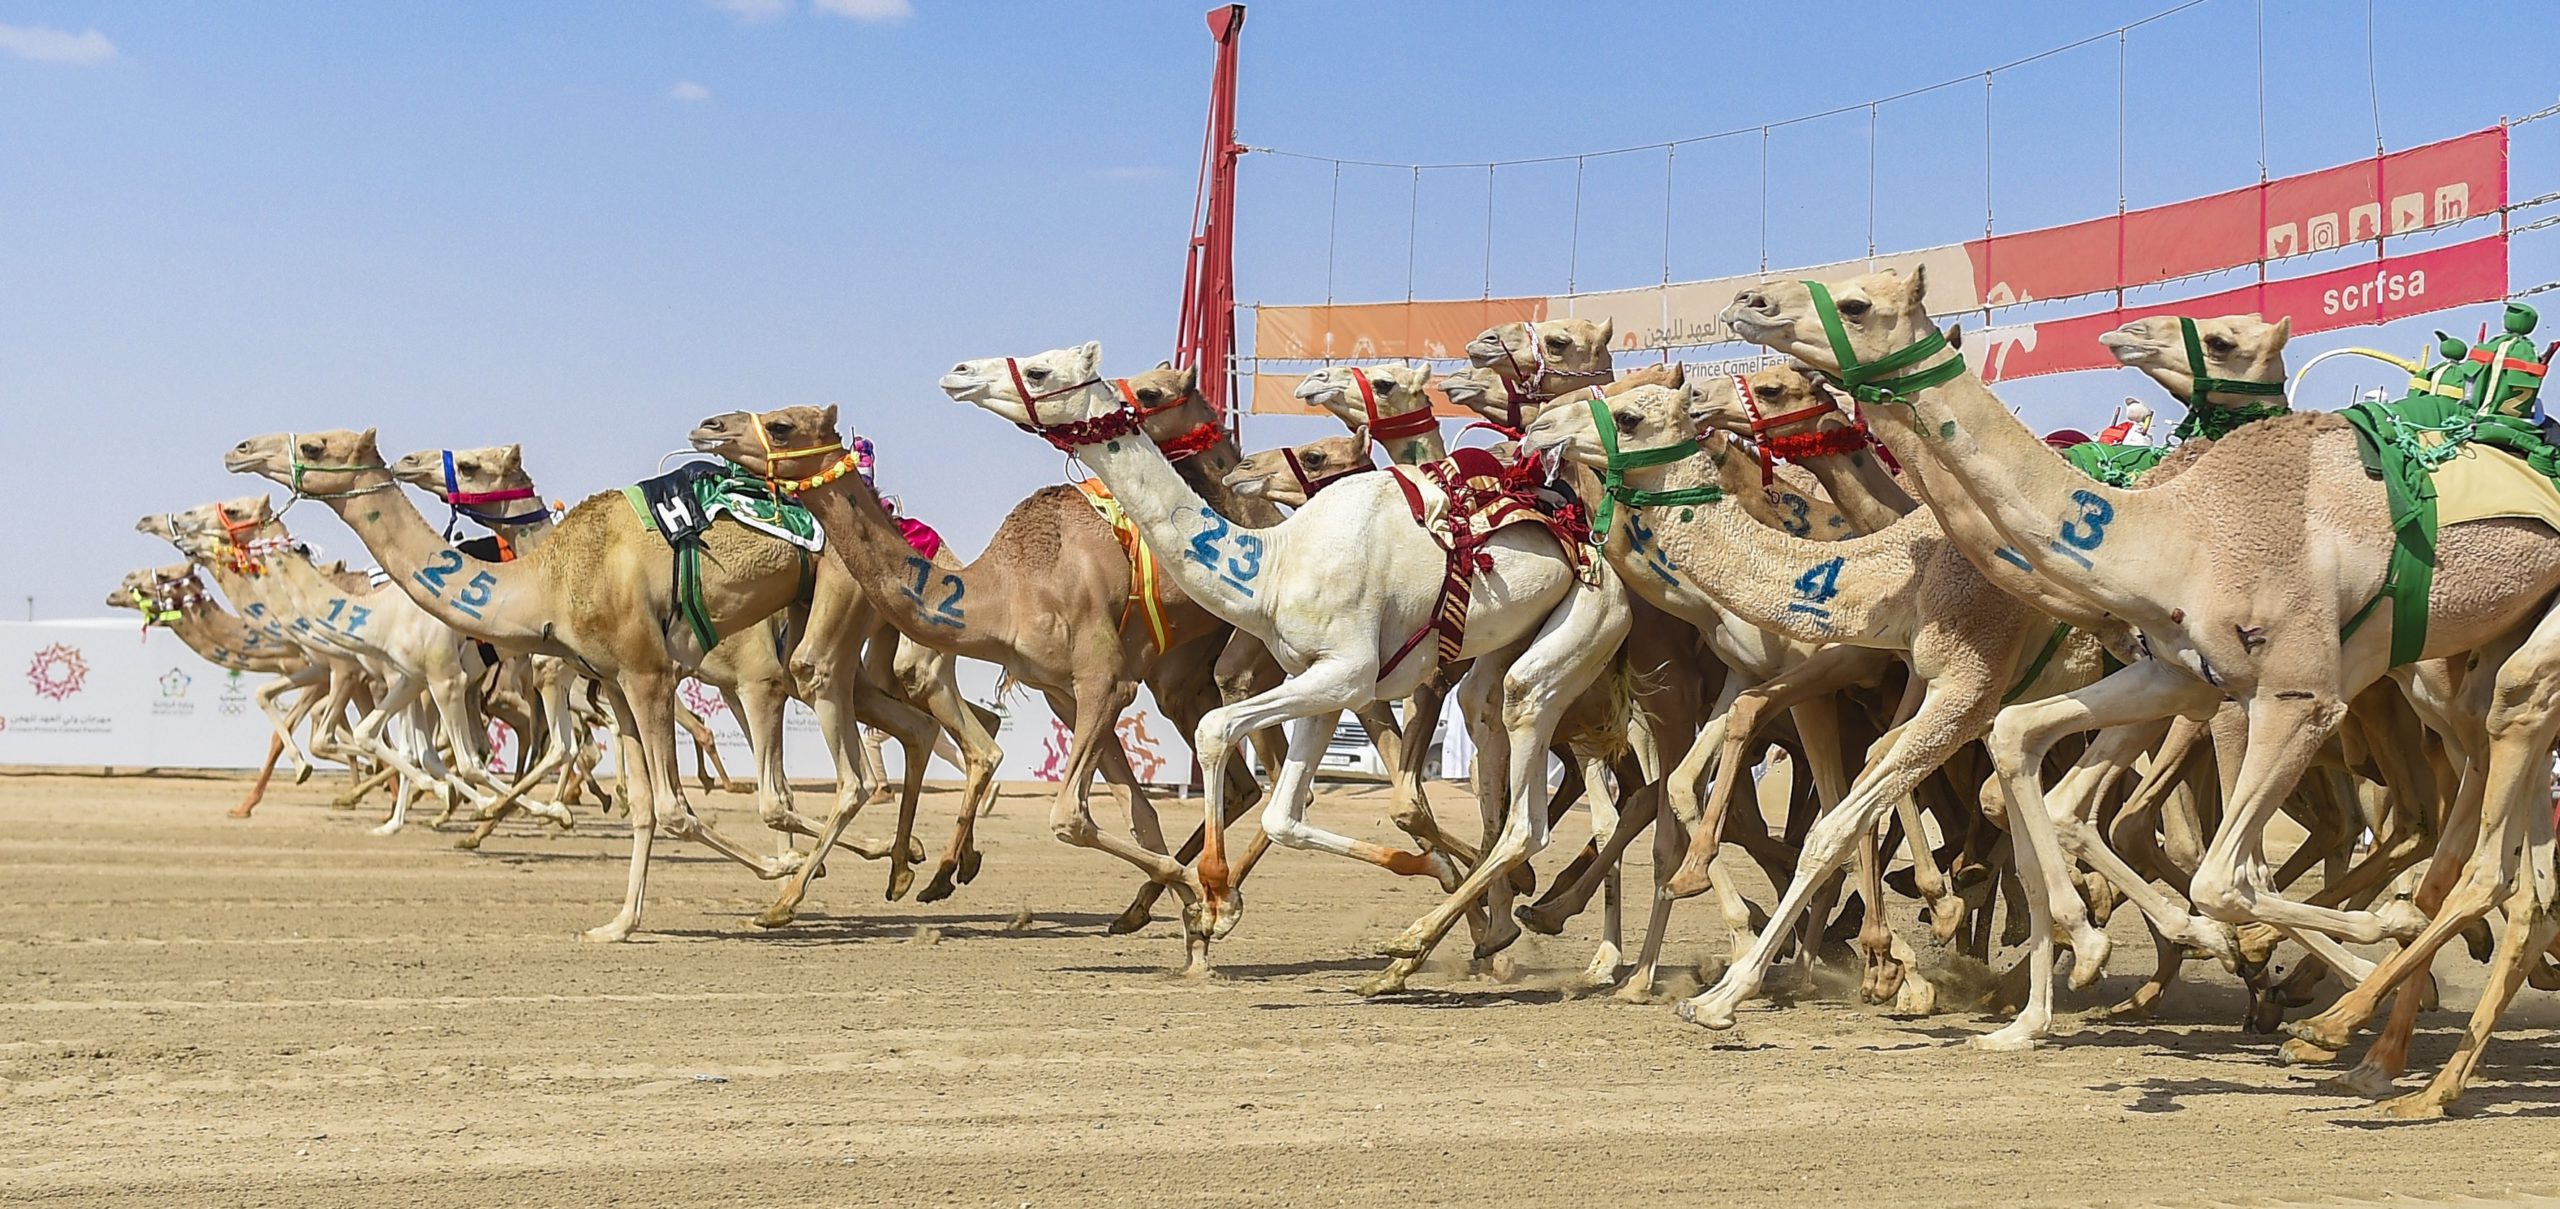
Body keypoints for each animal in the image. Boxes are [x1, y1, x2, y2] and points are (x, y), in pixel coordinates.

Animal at [1720, 268, 2560, 1111]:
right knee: (2488, 837)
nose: (1747, 303)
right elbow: (2024, 749)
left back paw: (2361, 1023)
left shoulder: (2296, 696)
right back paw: (2382, 1047)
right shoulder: (2177, 673)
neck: (2177, 532)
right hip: (2467, 675)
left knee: (2463, 830)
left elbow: (2222, 872)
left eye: (1856, 302)